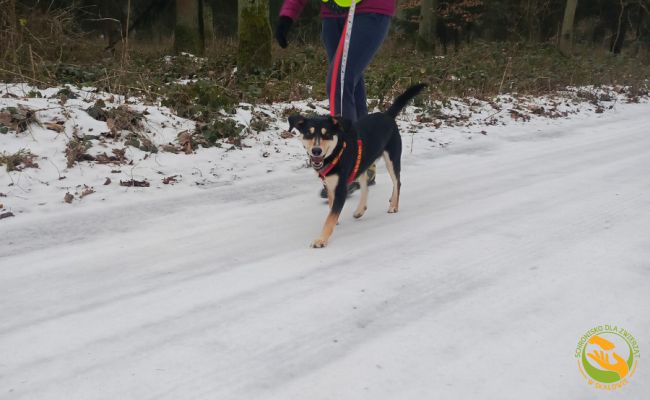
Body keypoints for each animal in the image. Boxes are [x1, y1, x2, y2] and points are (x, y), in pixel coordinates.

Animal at [289, 83, 426, 248]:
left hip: (392, 159)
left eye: (326, 134)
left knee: (397, 182)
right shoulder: (330, 184)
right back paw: (361, 209)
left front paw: (321, 239)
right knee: (366, 185)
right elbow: (331, 207)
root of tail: (387, 115)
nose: (316, 151)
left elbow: (330, 218)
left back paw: (393, 205)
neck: (337, 152)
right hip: (362, 163)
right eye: (309, 134)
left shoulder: (340, 189)